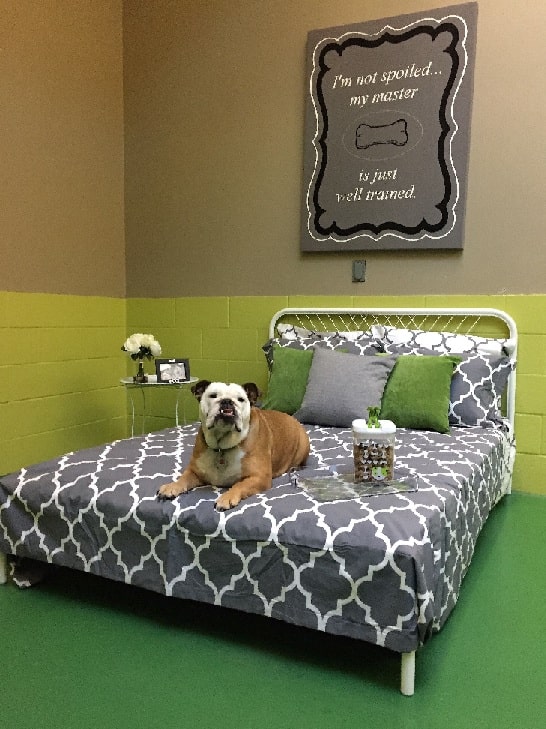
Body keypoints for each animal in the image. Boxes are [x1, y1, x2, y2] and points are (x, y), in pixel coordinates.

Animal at [157, 378, 310, 510]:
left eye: (241, 399)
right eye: (213, 396)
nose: (227, 401)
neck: (222, 445)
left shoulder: (259, 477)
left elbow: (239, 485)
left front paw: (227, 497)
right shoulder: (195, 471)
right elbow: (183, 478)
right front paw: (172, 486)